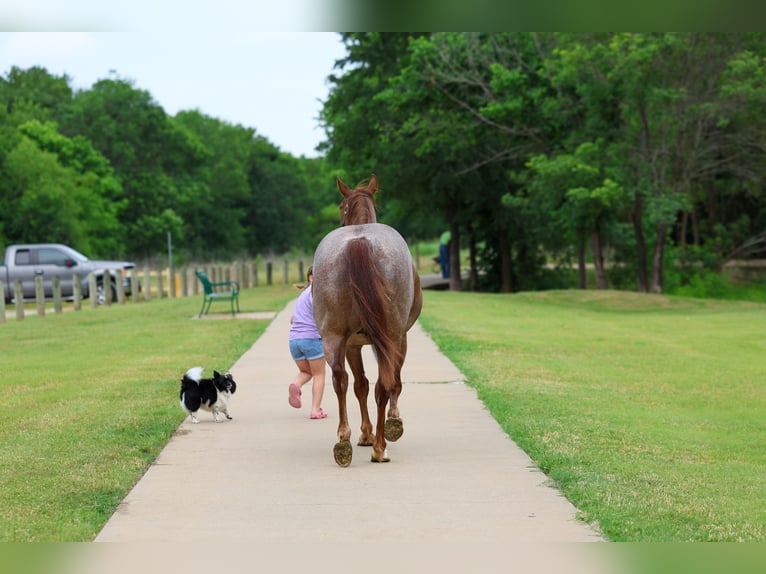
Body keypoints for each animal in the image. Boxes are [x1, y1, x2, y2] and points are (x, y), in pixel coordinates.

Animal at [312, 174, 423, 466]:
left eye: (341, 207)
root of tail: (357, 241)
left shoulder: (352, 343)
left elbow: (360, 384)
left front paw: (364, 434)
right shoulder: (399, 338)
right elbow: (392, 381)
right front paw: (390, 424)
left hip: (333, 336)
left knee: (340, 379)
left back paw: (343, 442)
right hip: (390, 333)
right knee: (383, 383)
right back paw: (380, 446)